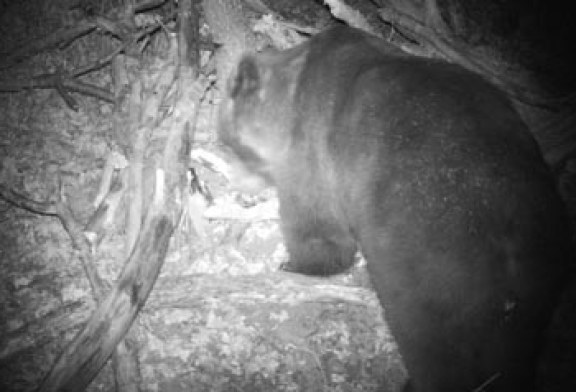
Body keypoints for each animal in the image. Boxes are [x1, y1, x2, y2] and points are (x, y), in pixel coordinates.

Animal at [217, 26, 572, 390]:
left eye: (230, 144)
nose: (239, 189)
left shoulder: (314, 141)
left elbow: (317, 223)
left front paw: (295, 264)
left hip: (427, 270)